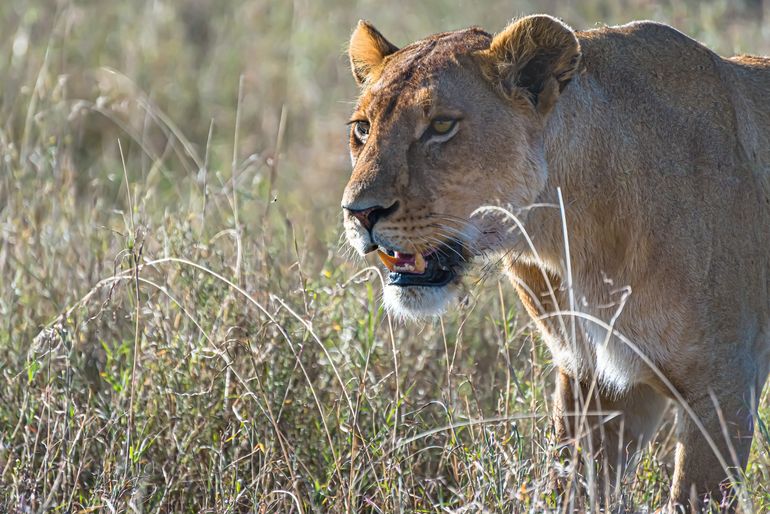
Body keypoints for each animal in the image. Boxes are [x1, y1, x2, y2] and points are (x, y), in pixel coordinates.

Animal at [340, 14, 770, 512]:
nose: (359, 213)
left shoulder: (724, 388)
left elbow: (692, 498)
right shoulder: (594, 380)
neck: (569, 236)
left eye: (442, 125)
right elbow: (570, 484)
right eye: (363, 128)